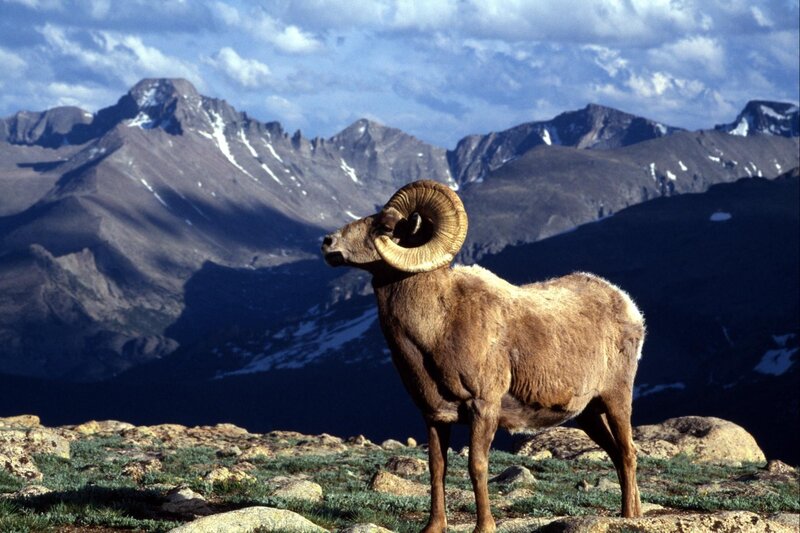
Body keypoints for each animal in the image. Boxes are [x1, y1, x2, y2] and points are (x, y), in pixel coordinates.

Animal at [321, 180, 645, 532]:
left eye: (384, 225)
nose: (328, 243)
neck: (439, 326)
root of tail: (627, 305)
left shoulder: (483, 408)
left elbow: (477, 466)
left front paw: (484, 526)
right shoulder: (434, 416)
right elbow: (437, 469)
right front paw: (434, 526)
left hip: (615, 398)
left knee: (627, 452)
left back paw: (630, 516)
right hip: (588, 414)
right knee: (616, 453)